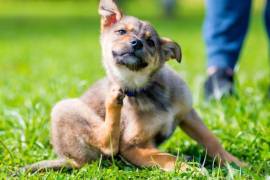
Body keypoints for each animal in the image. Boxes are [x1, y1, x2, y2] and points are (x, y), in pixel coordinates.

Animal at [22, 0, 246, 172]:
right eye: (121, 31)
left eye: (151, 42)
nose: (136, 43)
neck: (146, 89)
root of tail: (67, 158)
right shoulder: (131, 146)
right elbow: (166, 157)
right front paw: (187, 169)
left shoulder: (188, 114)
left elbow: (211, 140)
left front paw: (235, 162)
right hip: (65, 108)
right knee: (107, 143)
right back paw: (113, 101)